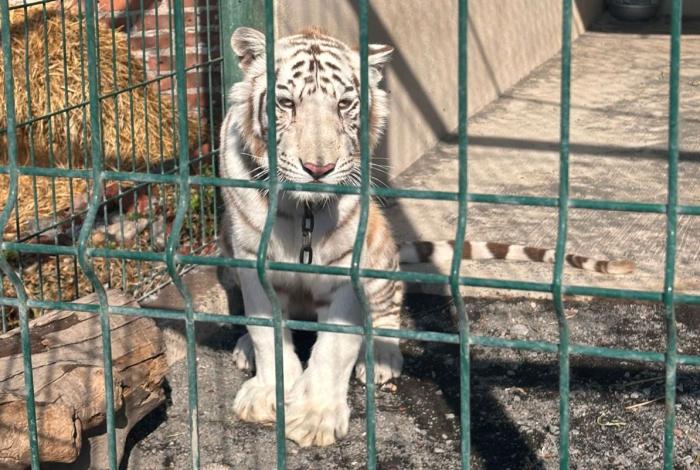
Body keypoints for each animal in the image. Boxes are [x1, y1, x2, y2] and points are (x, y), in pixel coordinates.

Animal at [217, 26, 635, 448]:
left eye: (345, 104)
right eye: (286, 102)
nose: (319, 169)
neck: (303, 211)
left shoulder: (348, 267)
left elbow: (334, 348)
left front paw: (316, 416)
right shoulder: (249, 260)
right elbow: (266, 332)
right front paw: (268, 391)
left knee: (388, 312)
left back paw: (382, 358)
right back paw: (244, 349)